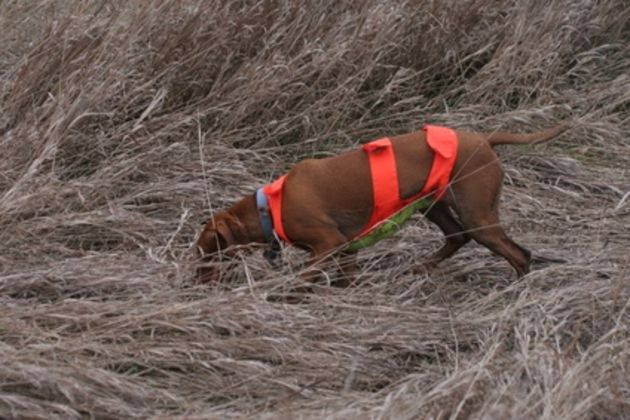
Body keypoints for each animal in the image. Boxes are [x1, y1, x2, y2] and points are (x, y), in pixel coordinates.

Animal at [196, 123, 568, 284]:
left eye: (204, 251)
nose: (194, 281)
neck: (269, 206)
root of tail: (484, 140)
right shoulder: (347, 249)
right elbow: (345, 278)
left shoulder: (328, 244)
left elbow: (303, 278)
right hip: (433, 205)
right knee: (456, 236)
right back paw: (422, 266)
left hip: (477, 215)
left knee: (519, 254)